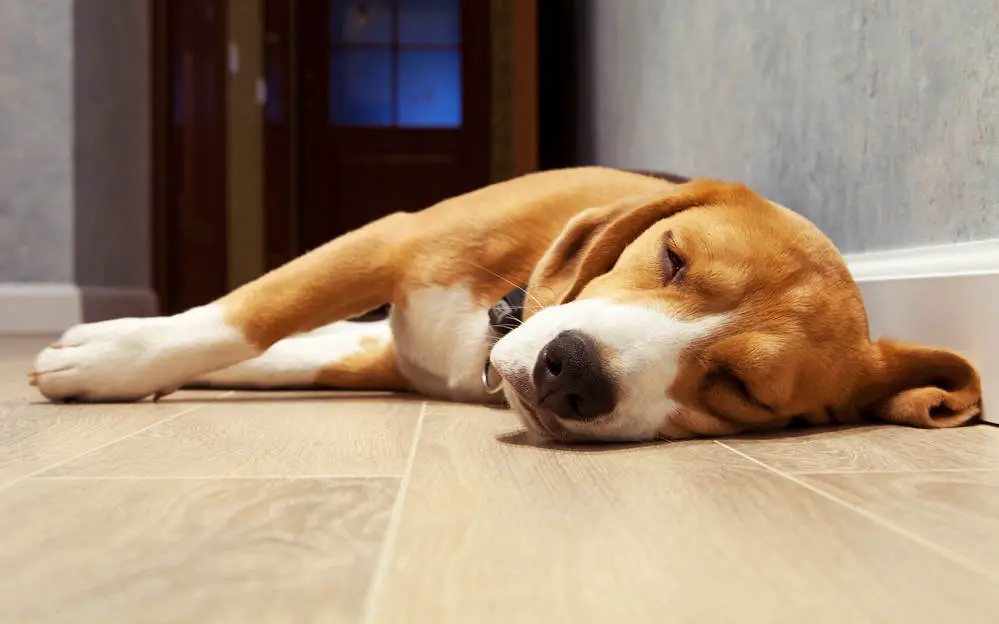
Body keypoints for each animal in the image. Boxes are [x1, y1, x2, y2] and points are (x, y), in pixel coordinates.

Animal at [27, 168, 980, 442]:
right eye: (672, 260)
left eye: (742, 392)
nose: (571, 375)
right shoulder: (391, 240)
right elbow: (247, 317)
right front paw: (115, 354)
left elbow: (283, 346)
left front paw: (105, 359)